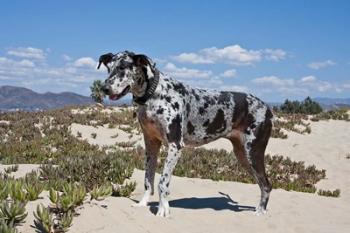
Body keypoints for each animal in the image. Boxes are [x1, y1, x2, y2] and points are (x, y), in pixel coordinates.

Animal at [98, 50, 274, 217]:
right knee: (261, 183)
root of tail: (267, 108)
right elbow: (148, 179)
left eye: (123, 67)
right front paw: (143, 204)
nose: (104, 88)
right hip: (243, 156)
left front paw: (163, 209)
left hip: (253, 153)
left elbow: (162, 182)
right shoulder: (151, 145)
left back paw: (260, 211)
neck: (153, 95)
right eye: (109, 68)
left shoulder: (175, 145)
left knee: (266, 185)